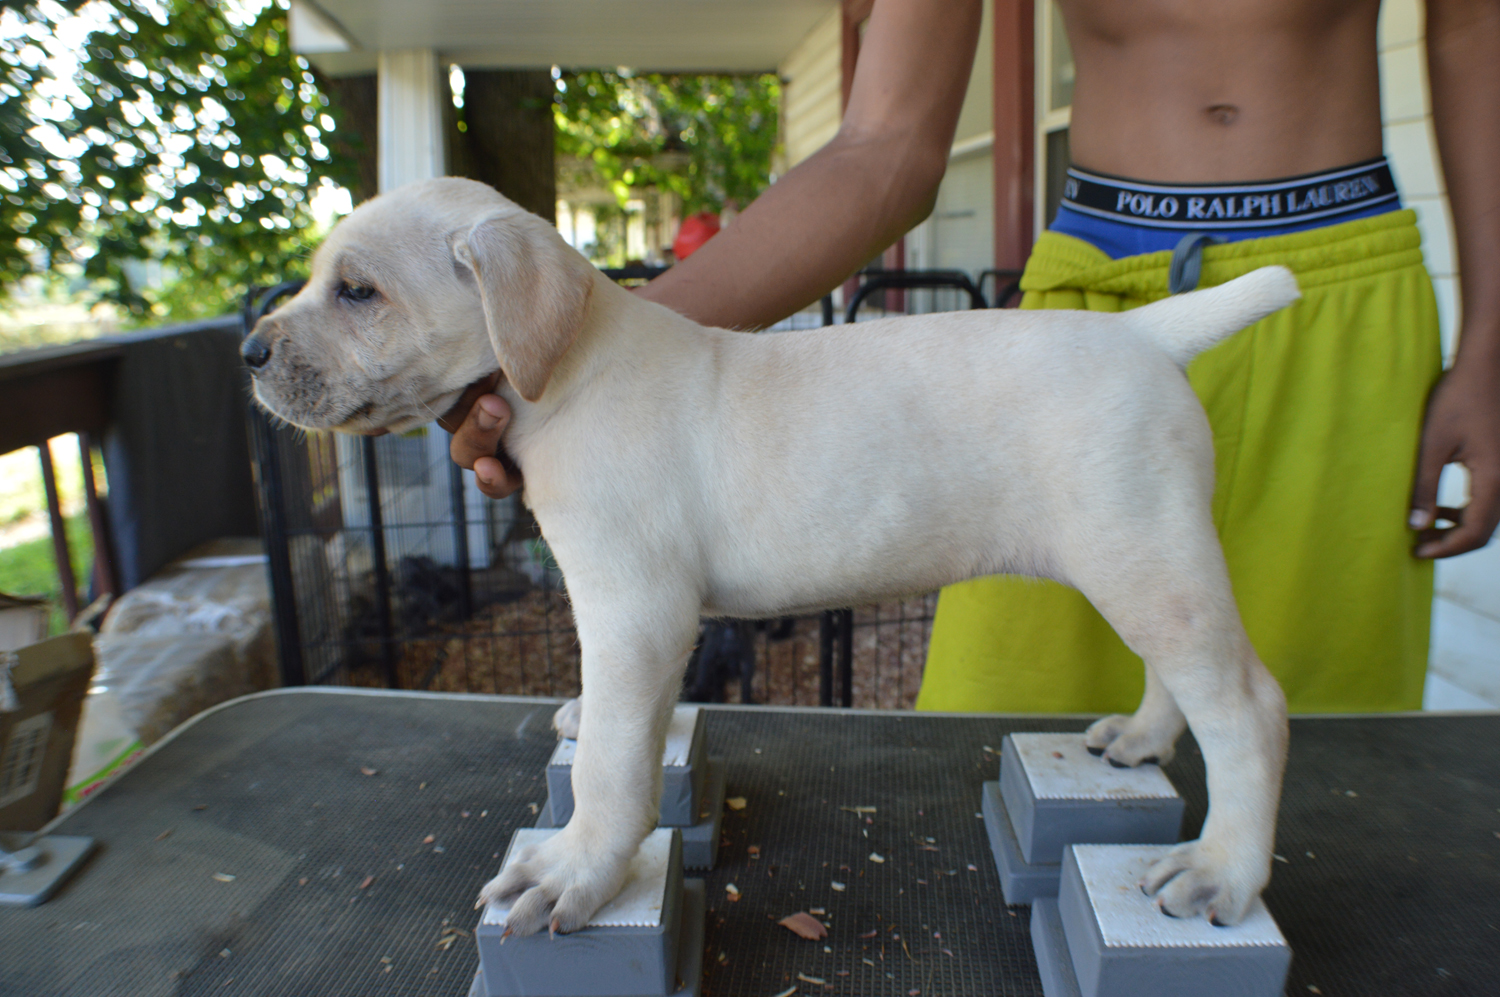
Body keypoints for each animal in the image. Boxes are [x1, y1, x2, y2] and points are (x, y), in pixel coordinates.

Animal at [243, 179, 1290, 935]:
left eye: (358, 291)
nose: (249, 351)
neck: (571, 369)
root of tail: (1142, 333)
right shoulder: (639, 617)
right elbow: (625, 725)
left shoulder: (634, 608)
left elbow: (611, 767)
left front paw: (576, 866)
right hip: (1144, 553)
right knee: (1182, 677)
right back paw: (1143, 738)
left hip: (1141, 555)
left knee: (1249, 706)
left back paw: (1221, 867)